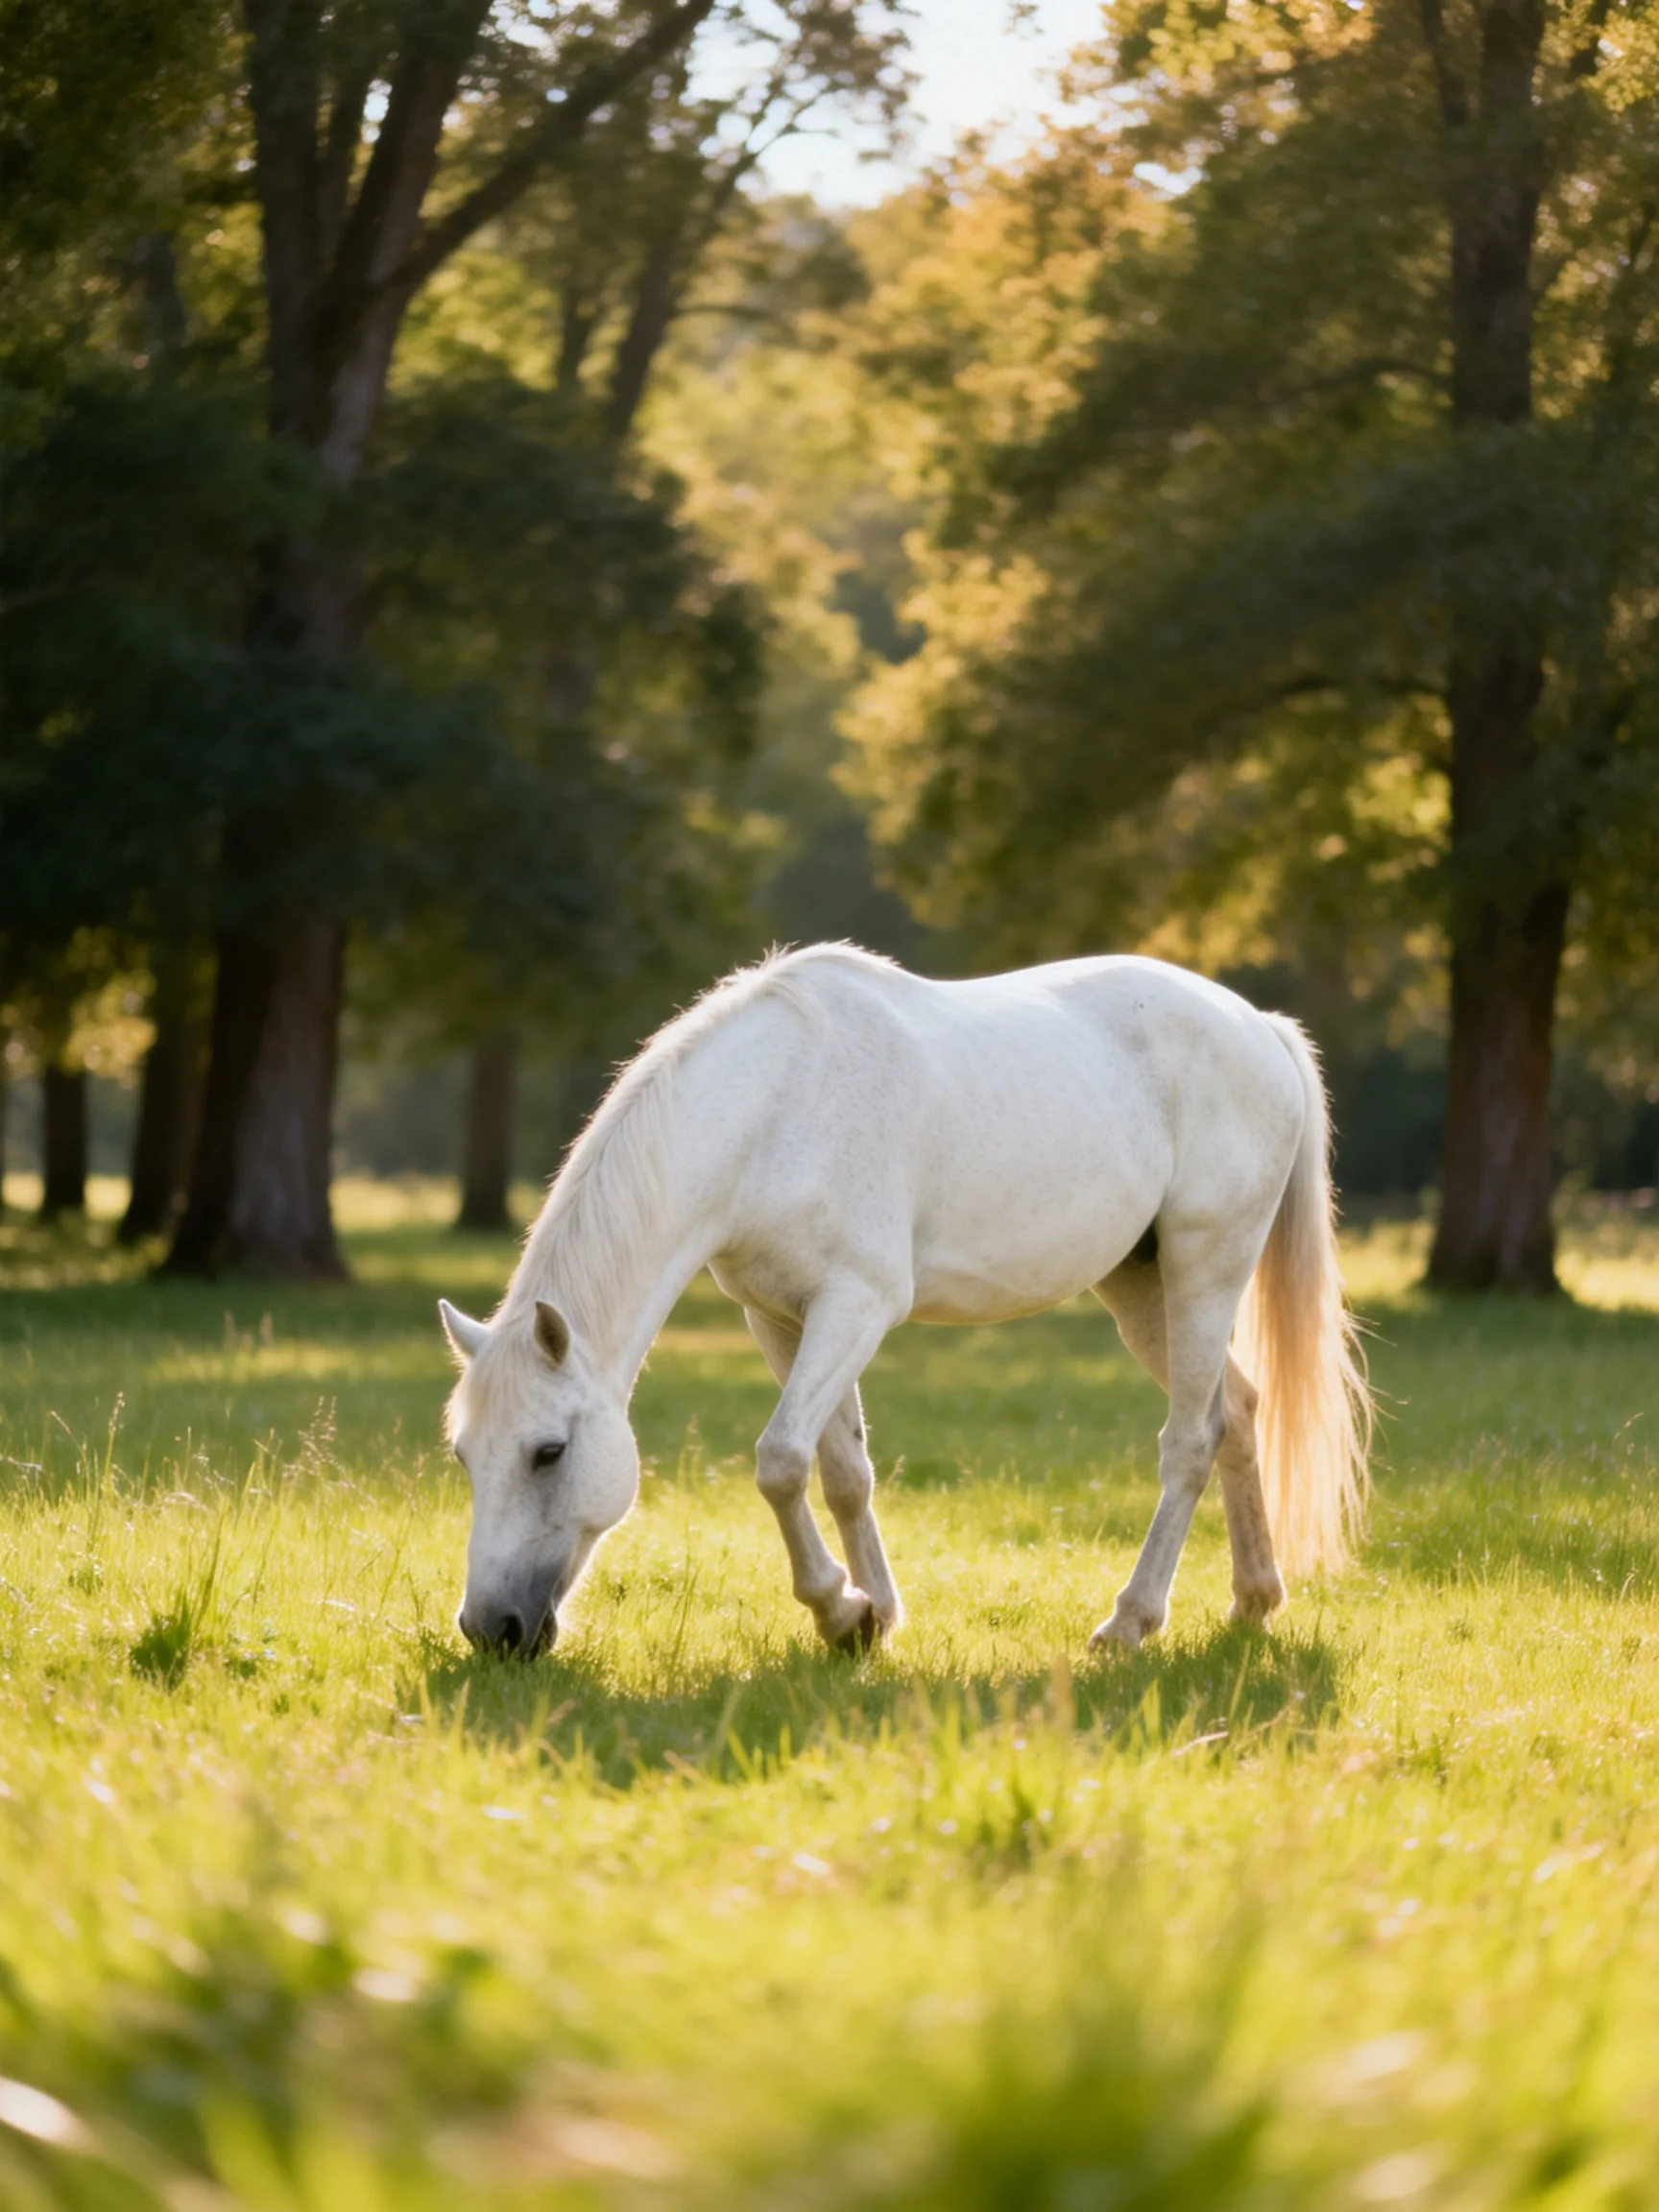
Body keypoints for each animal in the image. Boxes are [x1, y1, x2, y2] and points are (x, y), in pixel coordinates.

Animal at [439, 945, 1370, 1659]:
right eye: (464, 1456)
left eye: (549, 1452)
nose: (492, 1630)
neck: (773, 1109)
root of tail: (1260, 1027)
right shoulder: (782, 1317)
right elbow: (844, 1472)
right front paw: (871, 1617)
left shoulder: (857, 1304)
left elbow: (781, 1461)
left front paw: (835, 1607)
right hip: (1143, 1288)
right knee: (1237, 1412)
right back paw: (1254, 1599)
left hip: (1204, 1266)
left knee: (1189, 1442)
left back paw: (1130, 1623)